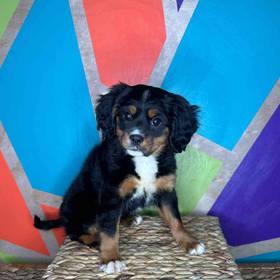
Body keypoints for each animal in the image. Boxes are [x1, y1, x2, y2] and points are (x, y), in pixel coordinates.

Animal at [35, 83, 206, 274]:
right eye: (126, 116)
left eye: (156, 121)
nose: (136, 138)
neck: (143, 160)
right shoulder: (111, 195)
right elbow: (110, 230)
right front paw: (111, 258)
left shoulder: (166, 190)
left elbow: (175, 219)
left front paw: (189, 242)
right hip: (81, 205)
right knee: (74, 230)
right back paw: (94, 240)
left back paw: (130, 219)